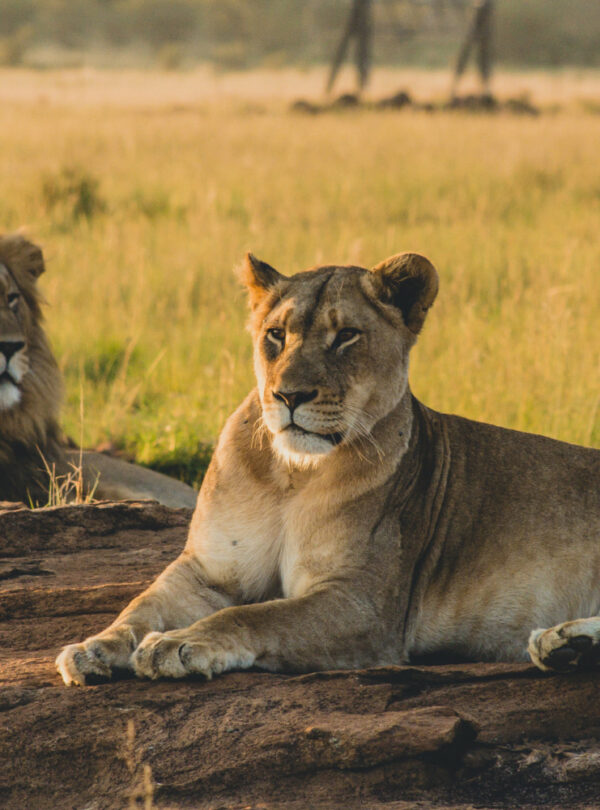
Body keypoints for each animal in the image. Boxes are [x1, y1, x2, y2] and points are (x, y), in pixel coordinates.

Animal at [56, 251, 600, 686]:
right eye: (276, 335)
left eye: (346, 337)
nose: (289, 396)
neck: (293, 476)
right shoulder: (207, 571)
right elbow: (141, 607)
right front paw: (93, 648)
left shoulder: (362, 603)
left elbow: (257, 617)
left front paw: (177, 644)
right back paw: (566, 647)